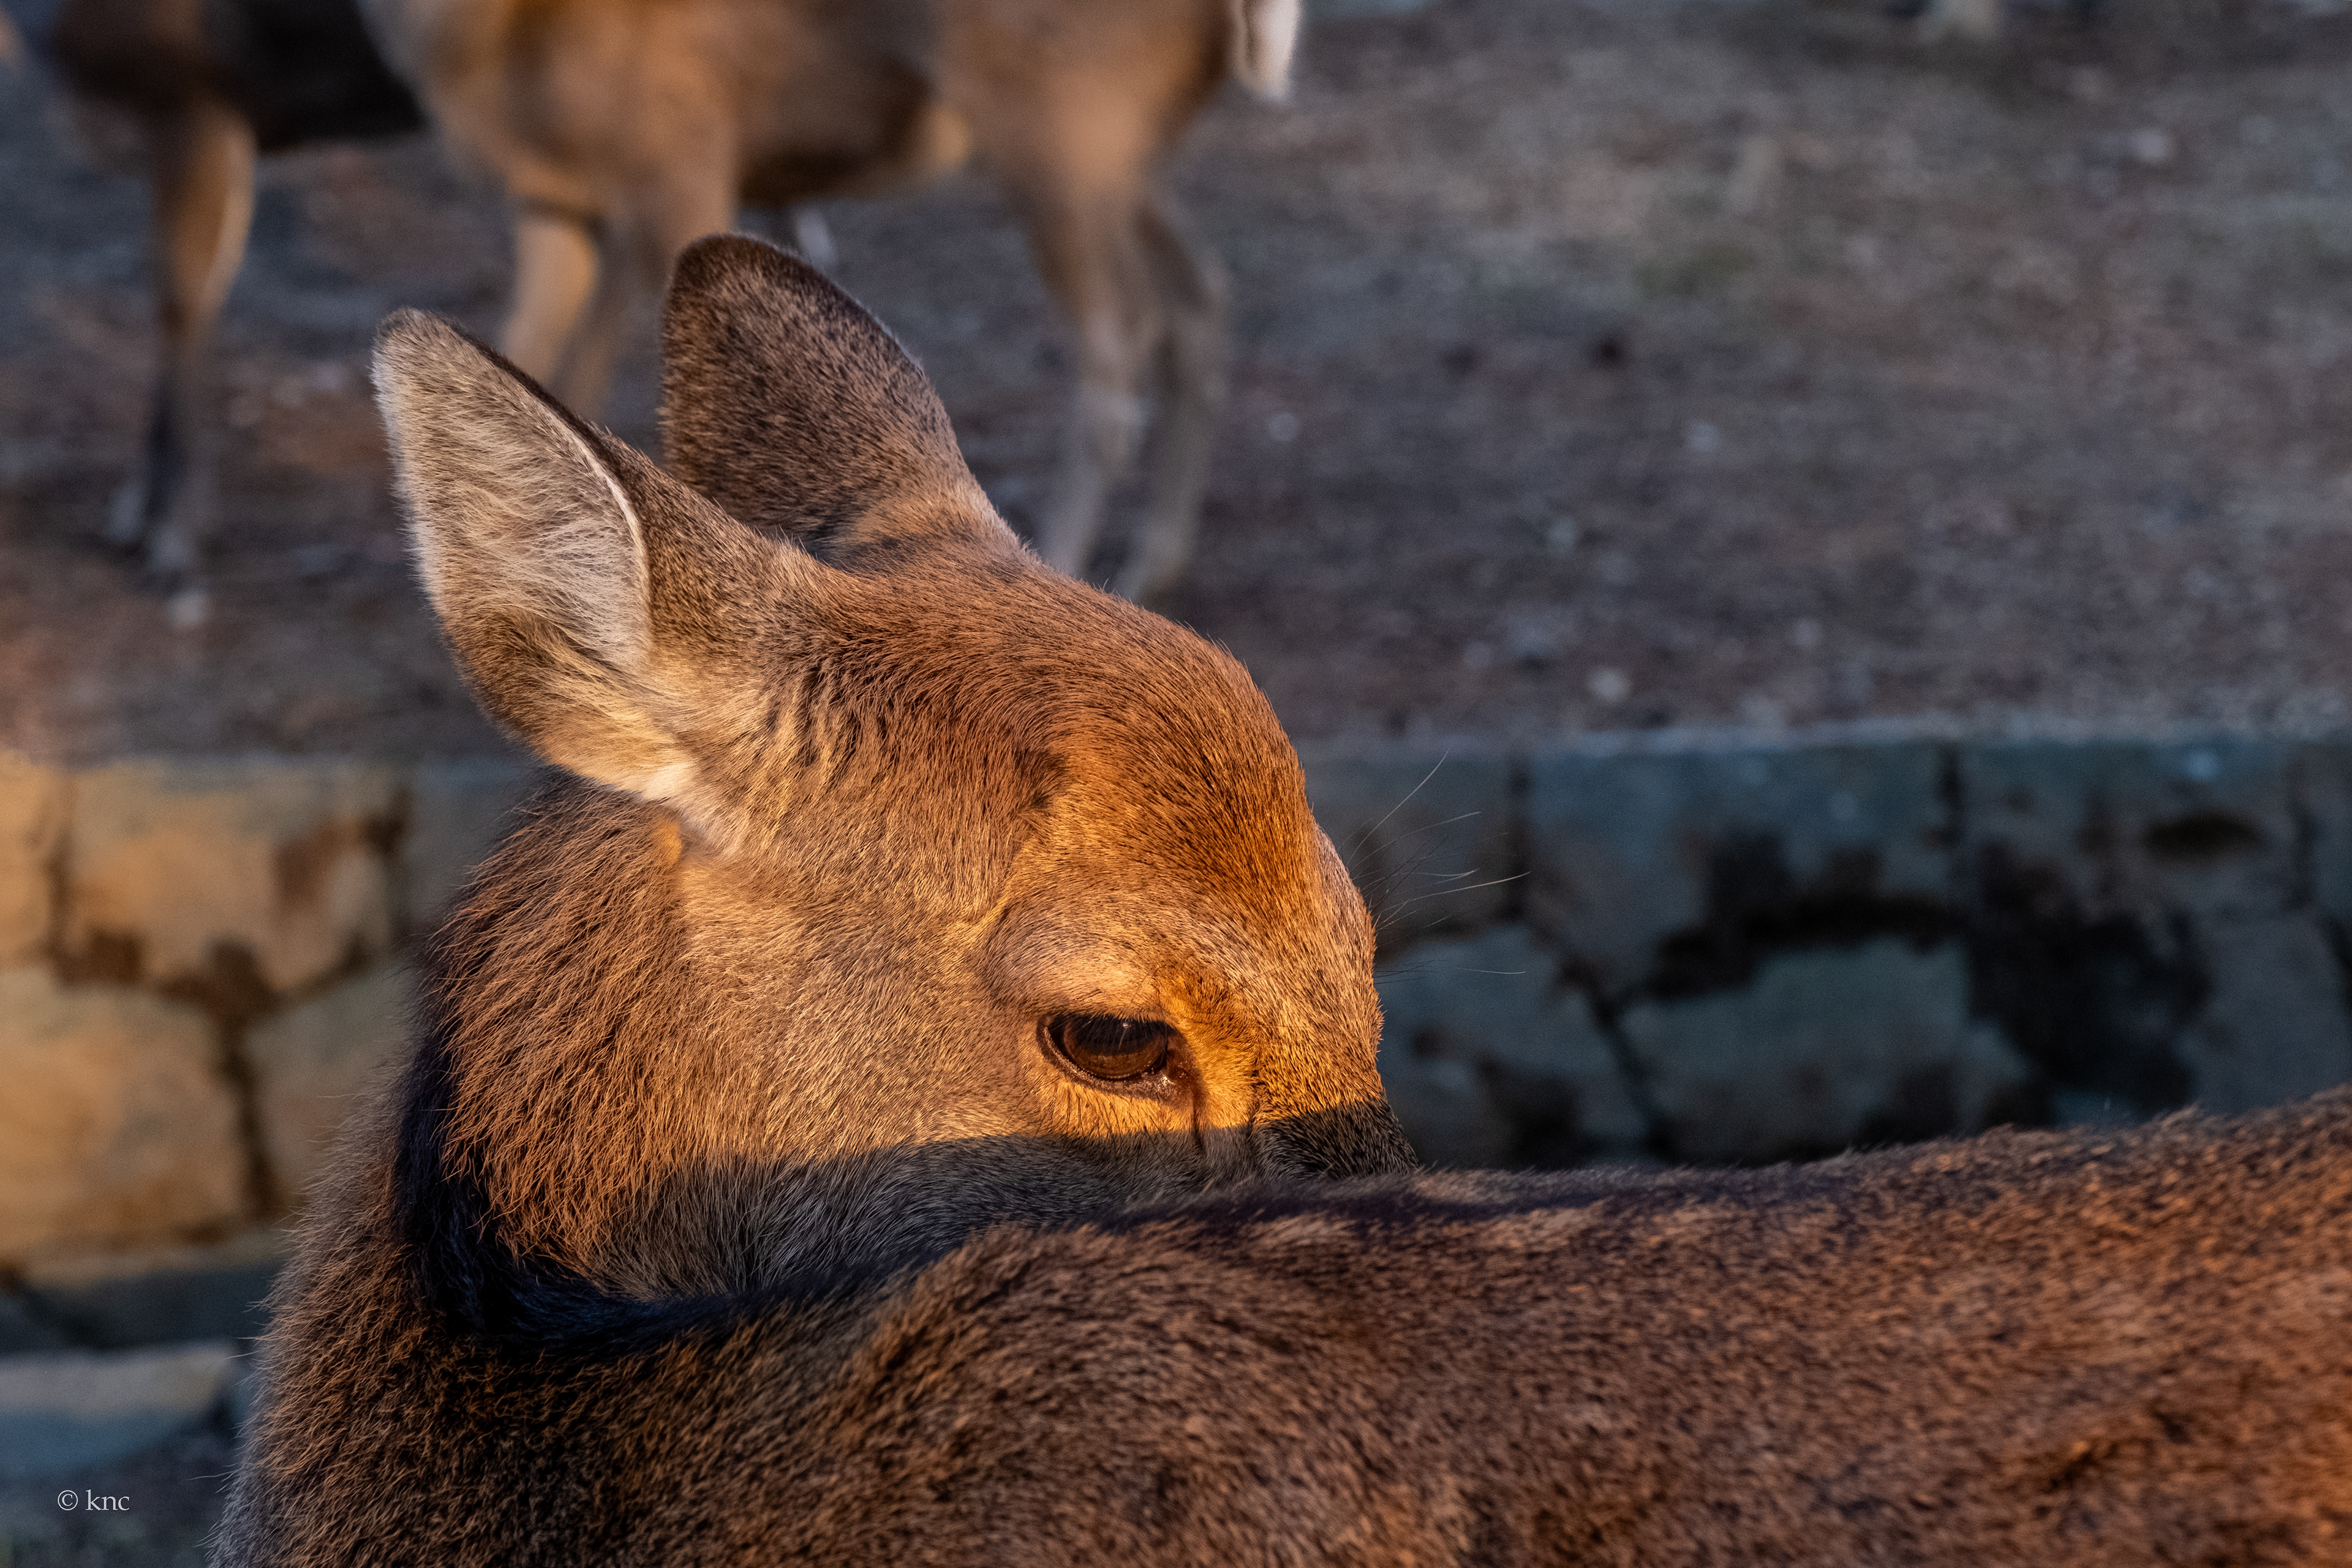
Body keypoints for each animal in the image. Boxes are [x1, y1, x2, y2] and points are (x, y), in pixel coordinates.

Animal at [355, 0, 1296, 608]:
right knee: (1200, 297)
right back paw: (1154, 564)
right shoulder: (554, 200)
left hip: (1061, 125)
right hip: (1115, 155)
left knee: (1121, 332)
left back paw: (1061, 562)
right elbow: (541, 363)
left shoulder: (681, 155)